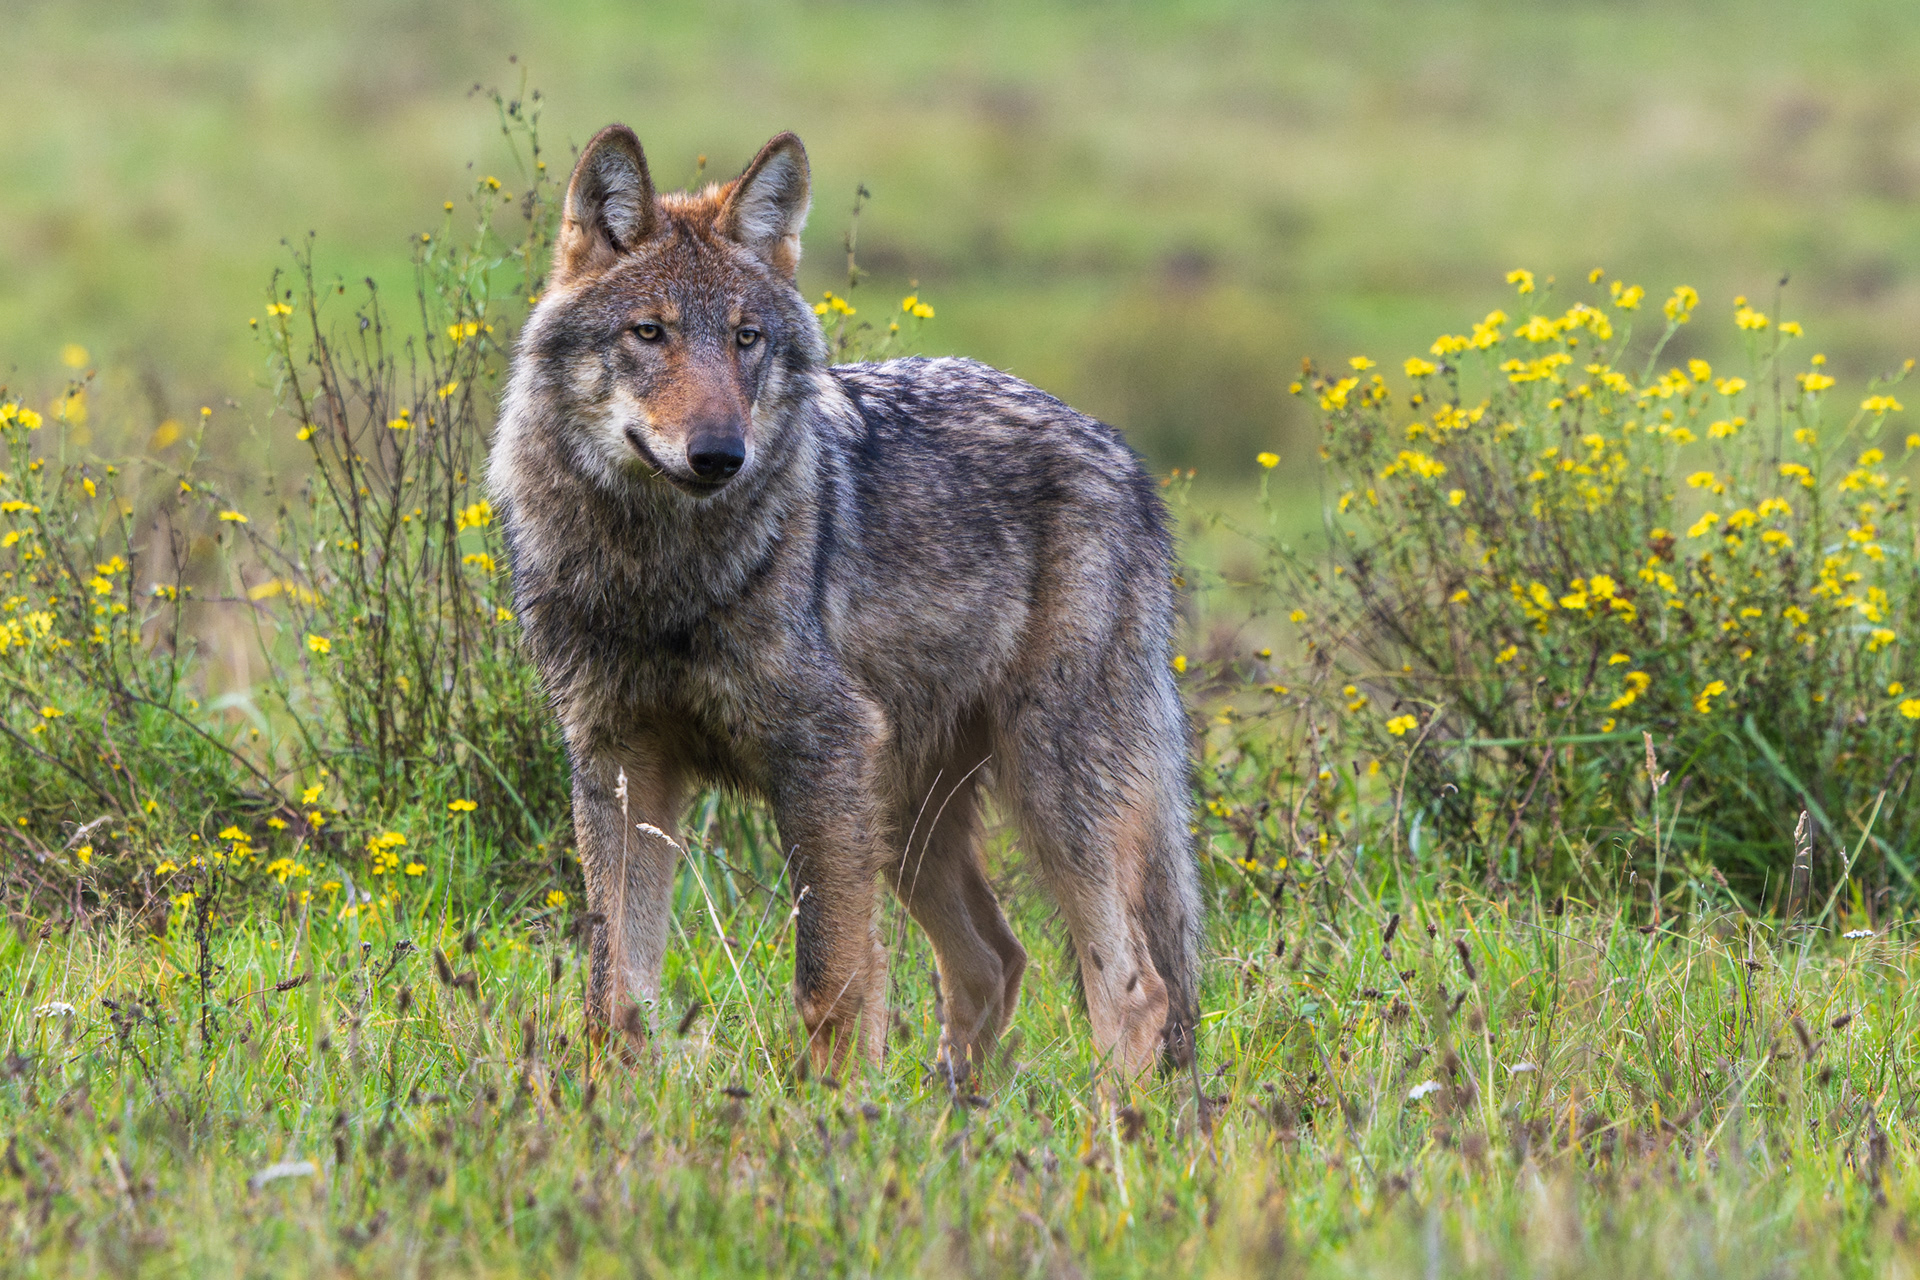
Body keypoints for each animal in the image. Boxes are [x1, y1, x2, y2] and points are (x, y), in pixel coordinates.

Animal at [489, 124, 1200, 1078]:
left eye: (747, 338)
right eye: (650, 332)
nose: (722, 455)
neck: (662, 577)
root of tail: (1120, 453)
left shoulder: (822, 757)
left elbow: (830, 983)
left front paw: (837, 1110)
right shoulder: (620, 767)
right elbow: (615, 993)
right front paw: (610, 1105)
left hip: (1047, 792)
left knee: (1133, 989)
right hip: (908, 814)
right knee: (994, 959)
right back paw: (953, 1110)